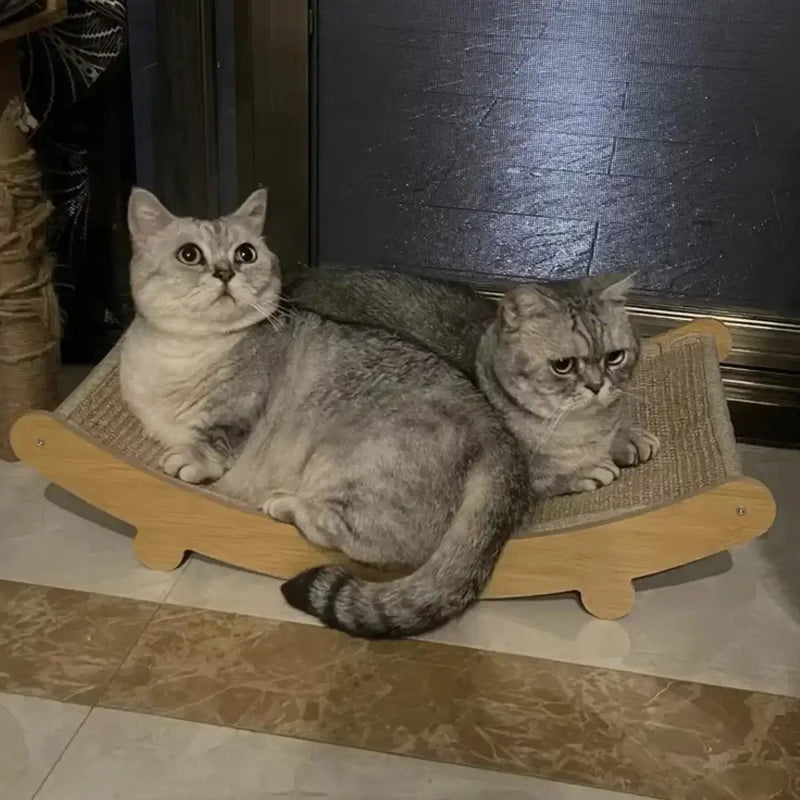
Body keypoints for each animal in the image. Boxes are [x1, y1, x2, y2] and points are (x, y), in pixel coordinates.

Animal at [119, 188, 532, 636]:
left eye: (246, 253)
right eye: (189, 254)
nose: (226, 271)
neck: (184, 352)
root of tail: (496, 432)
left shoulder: (238, 415)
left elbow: (214, 440)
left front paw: (189, 459)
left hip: (351, 465)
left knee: (375, 541)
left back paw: (287, 504)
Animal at [290, 268, 660, 494]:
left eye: (615, 357)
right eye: (563, 365)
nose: (596, 386)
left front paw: (627, 436)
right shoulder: (518, 473)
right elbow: (546, 474)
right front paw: (583, 470)